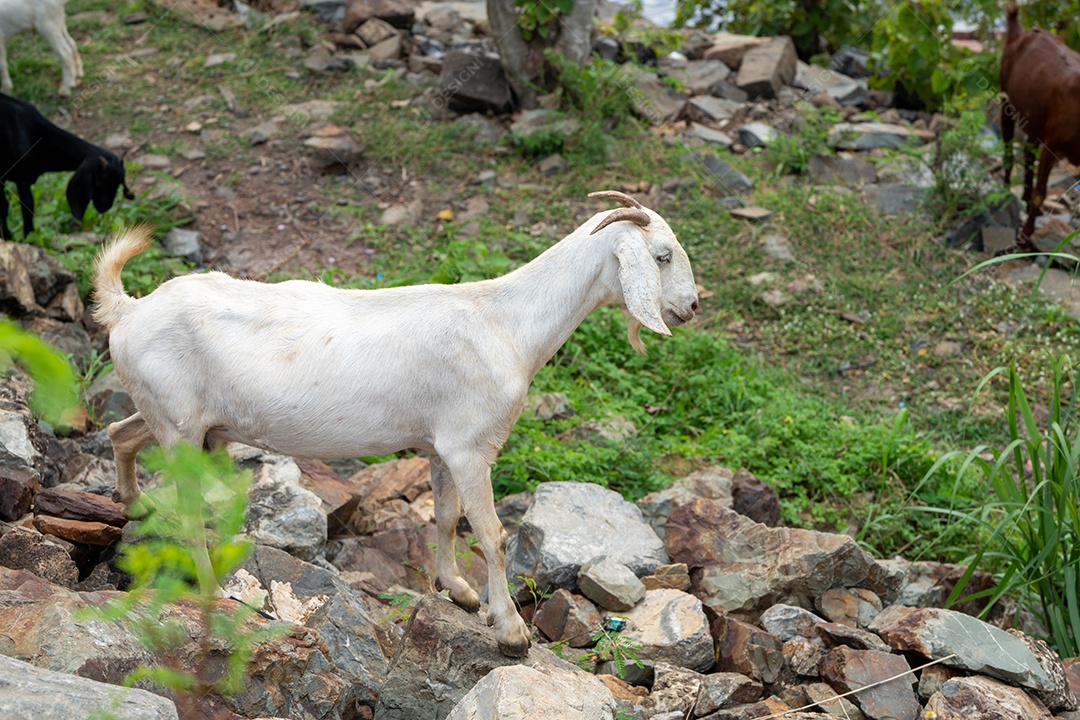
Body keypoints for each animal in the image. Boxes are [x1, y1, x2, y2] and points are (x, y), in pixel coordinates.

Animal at [0, 92, 133, 240]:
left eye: (119, 184)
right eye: (99, 182)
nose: (105, 206)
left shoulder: (25, 178)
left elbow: (26, 206)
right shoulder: (15, 178)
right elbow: (10, 207)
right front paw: (11, 236)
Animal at [92, 192, 699, 657]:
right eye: (663, 256)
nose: (692, 308)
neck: (506, 323)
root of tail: (128, 309)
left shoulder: (442, 447)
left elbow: (447, 517)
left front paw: (458, 591)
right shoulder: (472, 447)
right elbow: (492, 534)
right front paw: (510, 630)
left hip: (181, 421)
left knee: (121, 433)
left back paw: (132, 503)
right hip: (179, 428)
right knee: (189, 511)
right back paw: (210, 585)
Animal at [1000, 3, 1080, 247]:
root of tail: (1019, 33)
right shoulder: (1052, 144)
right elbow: (1040, 192)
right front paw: (1025, 236)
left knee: (1027, 151)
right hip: (1005, 98)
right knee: (1009, 149)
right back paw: (1006, 193)